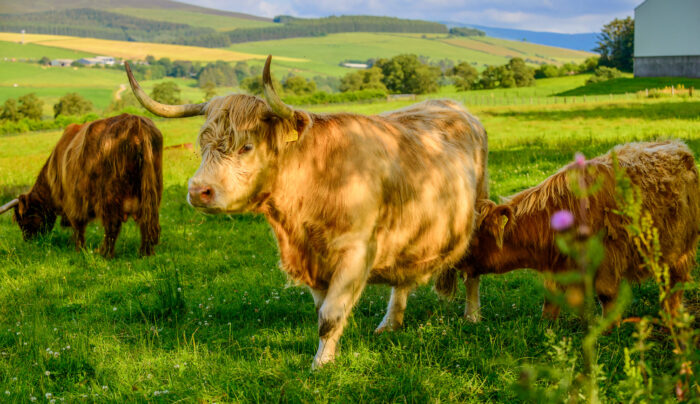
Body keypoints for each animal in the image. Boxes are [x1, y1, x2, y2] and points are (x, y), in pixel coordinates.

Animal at [0, 113, 163, 258]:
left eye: (24, 218)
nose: (28, 240)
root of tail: (136, 123)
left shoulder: (73, 201)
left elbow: (78, 227)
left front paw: (79, 249)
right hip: (151, 195)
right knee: (147, 223)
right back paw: (145, 254)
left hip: (109, 197)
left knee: (112, 226)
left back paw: (104, 254)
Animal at [124, 56, 486, 370]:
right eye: (203, 146)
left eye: (246, 146)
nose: (198, 191)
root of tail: (450, 105)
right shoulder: (312, 259)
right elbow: (321, 311)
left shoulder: (357, 252)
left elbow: (330, 315)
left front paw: (321, 364)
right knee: (403, 281)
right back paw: (390, 323)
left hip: (479, 215)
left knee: (472, 274)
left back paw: (472, 316)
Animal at [454, 140, 700, 324]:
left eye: (473, 239)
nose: (456, 263)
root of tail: (679, 146)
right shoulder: (557, 266)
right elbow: (551, 299)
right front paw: (546, 325)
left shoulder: (608, 260)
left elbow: (606, 295)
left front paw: (609, 329)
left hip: (680, 250)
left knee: (675, 285)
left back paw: (672, 316)